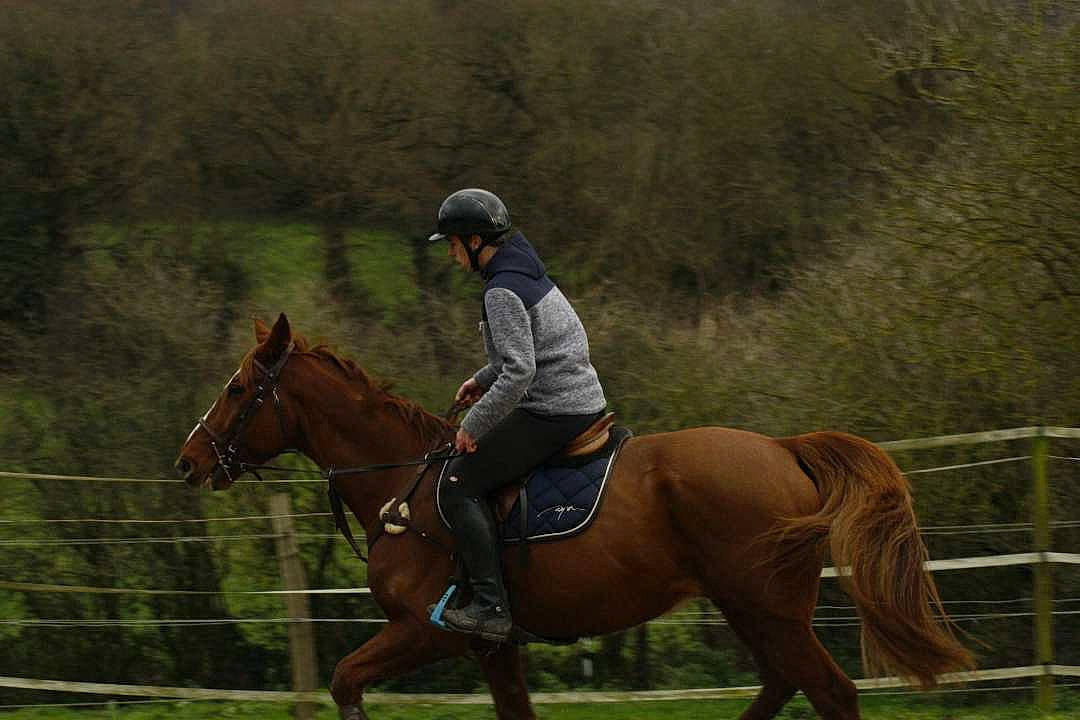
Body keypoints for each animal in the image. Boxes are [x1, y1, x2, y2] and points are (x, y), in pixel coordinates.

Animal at [174, 313, 973, 720]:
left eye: (239, 387)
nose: (188, 460)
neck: (404, 483)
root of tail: (783, 448)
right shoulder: (493, 651)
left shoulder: (427, 632)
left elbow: (343, 681)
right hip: (754, 607)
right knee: (784, 685)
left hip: (767, 607)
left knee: (828, 693)